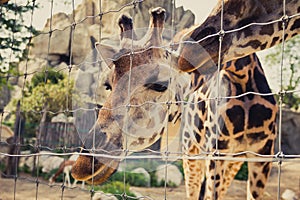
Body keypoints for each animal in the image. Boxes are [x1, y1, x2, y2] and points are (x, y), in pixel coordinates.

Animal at [71, 6, 278, 200]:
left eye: (160, 84)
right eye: (108, 85)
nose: (83, 165)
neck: (243, 80)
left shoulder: (261, 156)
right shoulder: (215, 154)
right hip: (194, 153)